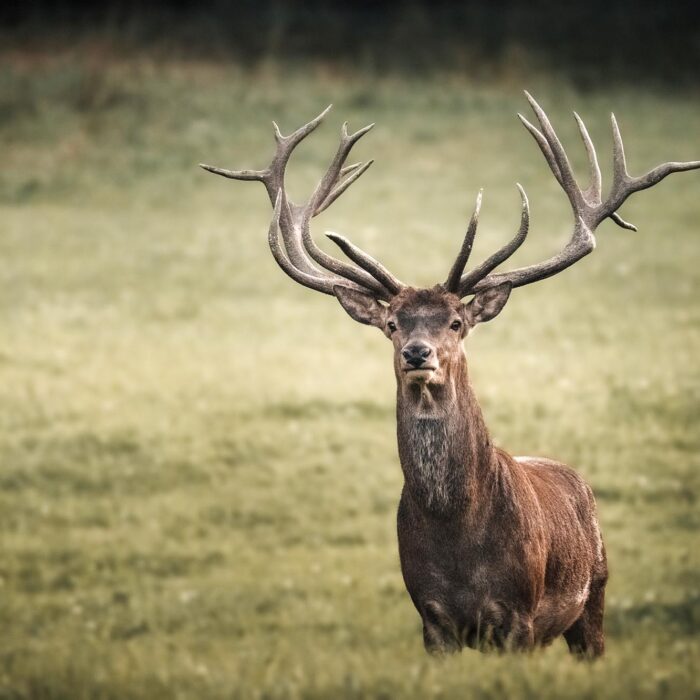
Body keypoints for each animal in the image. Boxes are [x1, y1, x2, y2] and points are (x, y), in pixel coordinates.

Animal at [201, 93, 700, 657]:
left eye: (457, 322)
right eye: (392, 323)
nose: (418, 353)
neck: (457, 537)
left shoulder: (518, 616)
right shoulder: (431, 617)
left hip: (594, 594)